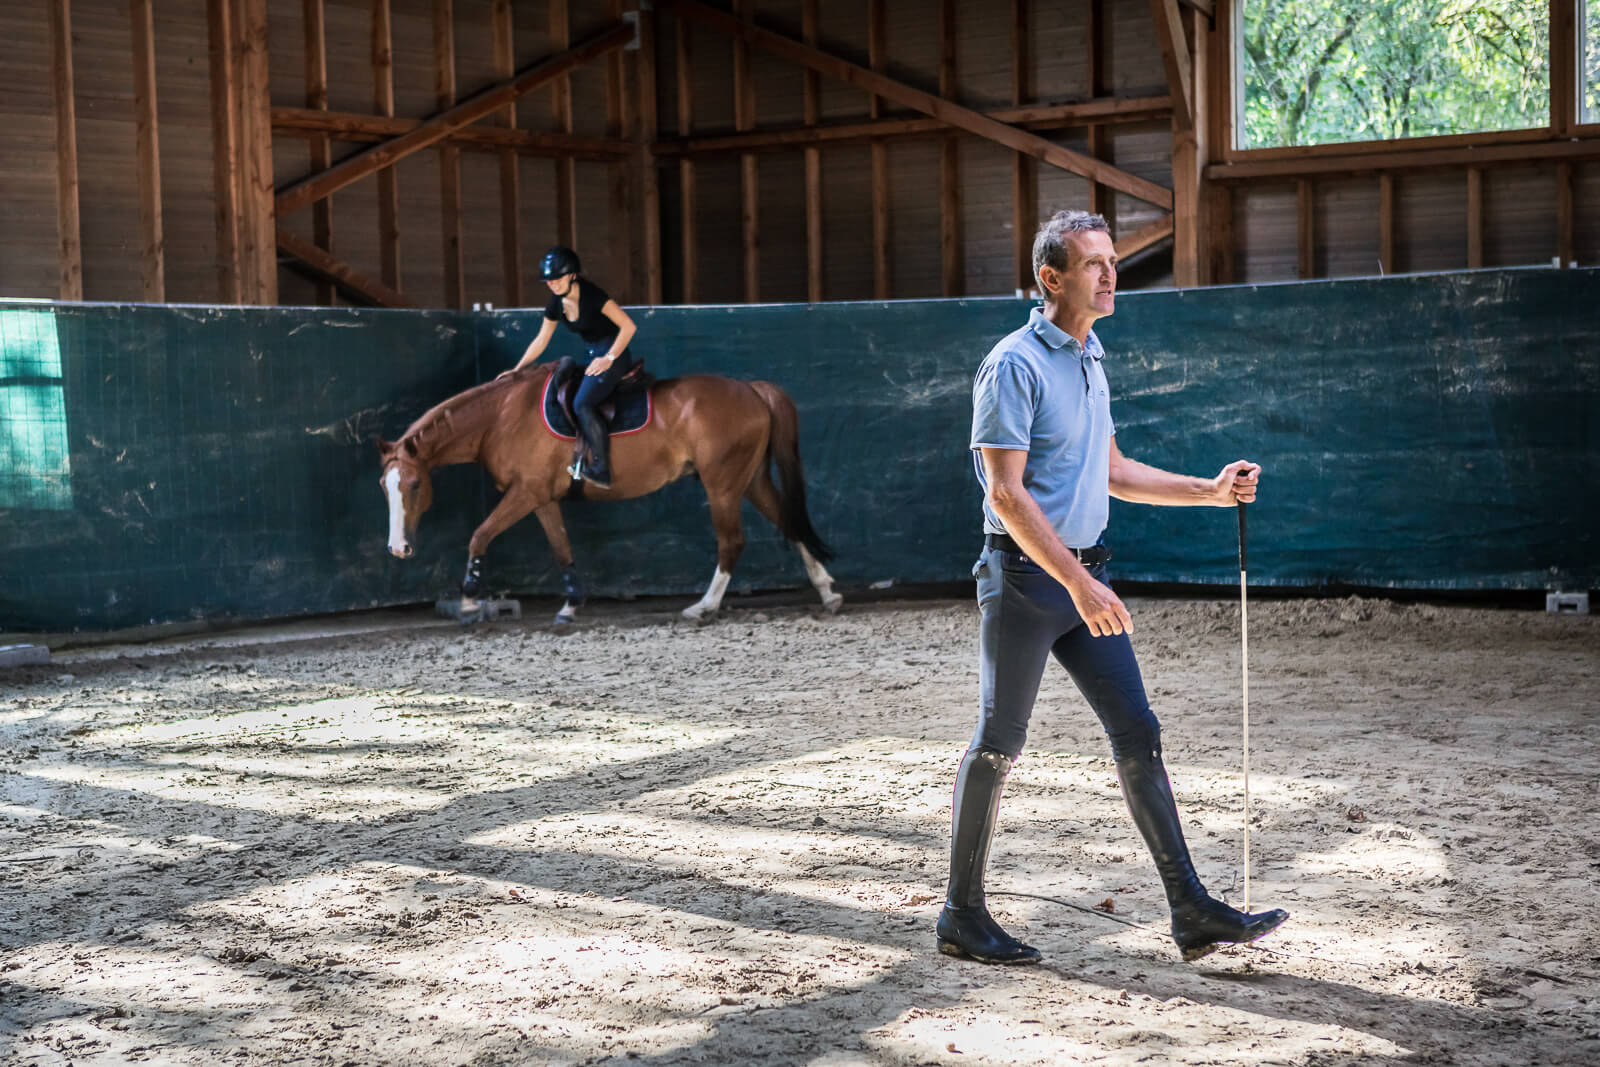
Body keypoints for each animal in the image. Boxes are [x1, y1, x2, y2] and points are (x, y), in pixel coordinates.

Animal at [376, 363, 844, 627]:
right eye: (385, 486)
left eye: (414, 485)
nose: (398, 548)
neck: (502, 417)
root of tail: (751, 389)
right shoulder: (542, 498)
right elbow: (562, 549)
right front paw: (570, 606)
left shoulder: (525, 493)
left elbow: (480, 535)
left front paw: (471, 598)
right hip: (750, 480)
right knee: (790, 522)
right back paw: (827, 592)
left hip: (723, 485)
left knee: (732, 542)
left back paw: (704, 608)